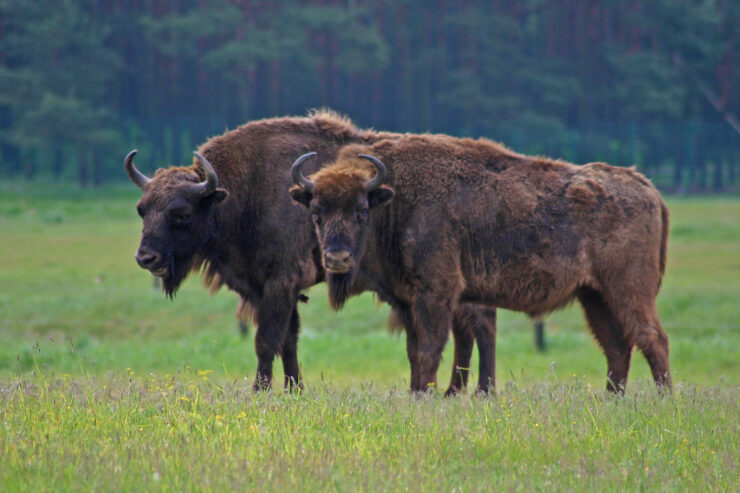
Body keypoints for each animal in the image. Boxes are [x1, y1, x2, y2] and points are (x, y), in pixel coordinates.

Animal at [125, 110, 498, 392]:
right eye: (142, 209)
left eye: (181, 213)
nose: (146, 258)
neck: (245, 190)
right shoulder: (267, 287)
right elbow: (288, 340)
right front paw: (295, 390)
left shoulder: (280, 283)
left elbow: (267, 340)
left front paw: (260, 391)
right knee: (468, 330)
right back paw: (456, 392)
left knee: (480, 328)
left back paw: (481, 391)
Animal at [292, 134, 672, 392]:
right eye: (316, 212)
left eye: (361, 210)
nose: (337, 258)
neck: (394, 201)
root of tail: (648, 189)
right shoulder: (408, 300)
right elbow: (414, 352)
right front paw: (416, 394)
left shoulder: (436, 293)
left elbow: (429, 350)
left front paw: (424, 396)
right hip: (594, 296)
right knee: (617, 347)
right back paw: (611, 400)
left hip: (627, 290)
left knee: (652, 338)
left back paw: (663, 400)